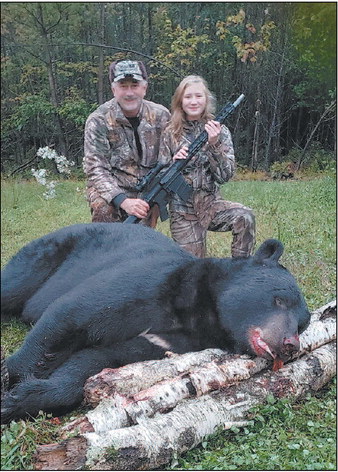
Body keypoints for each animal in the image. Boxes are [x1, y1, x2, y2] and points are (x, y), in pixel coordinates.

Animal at [0, 223, 312, 422]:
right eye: (279, 299)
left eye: (302, 325)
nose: (289, 344)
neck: (195, 312)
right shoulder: (148, 284)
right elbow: (68, 316)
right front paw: (9, 384)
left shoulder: (169, 341)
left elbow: (96, 361)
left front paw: (25, 398)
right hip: (47, 256)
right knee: (14, 285)